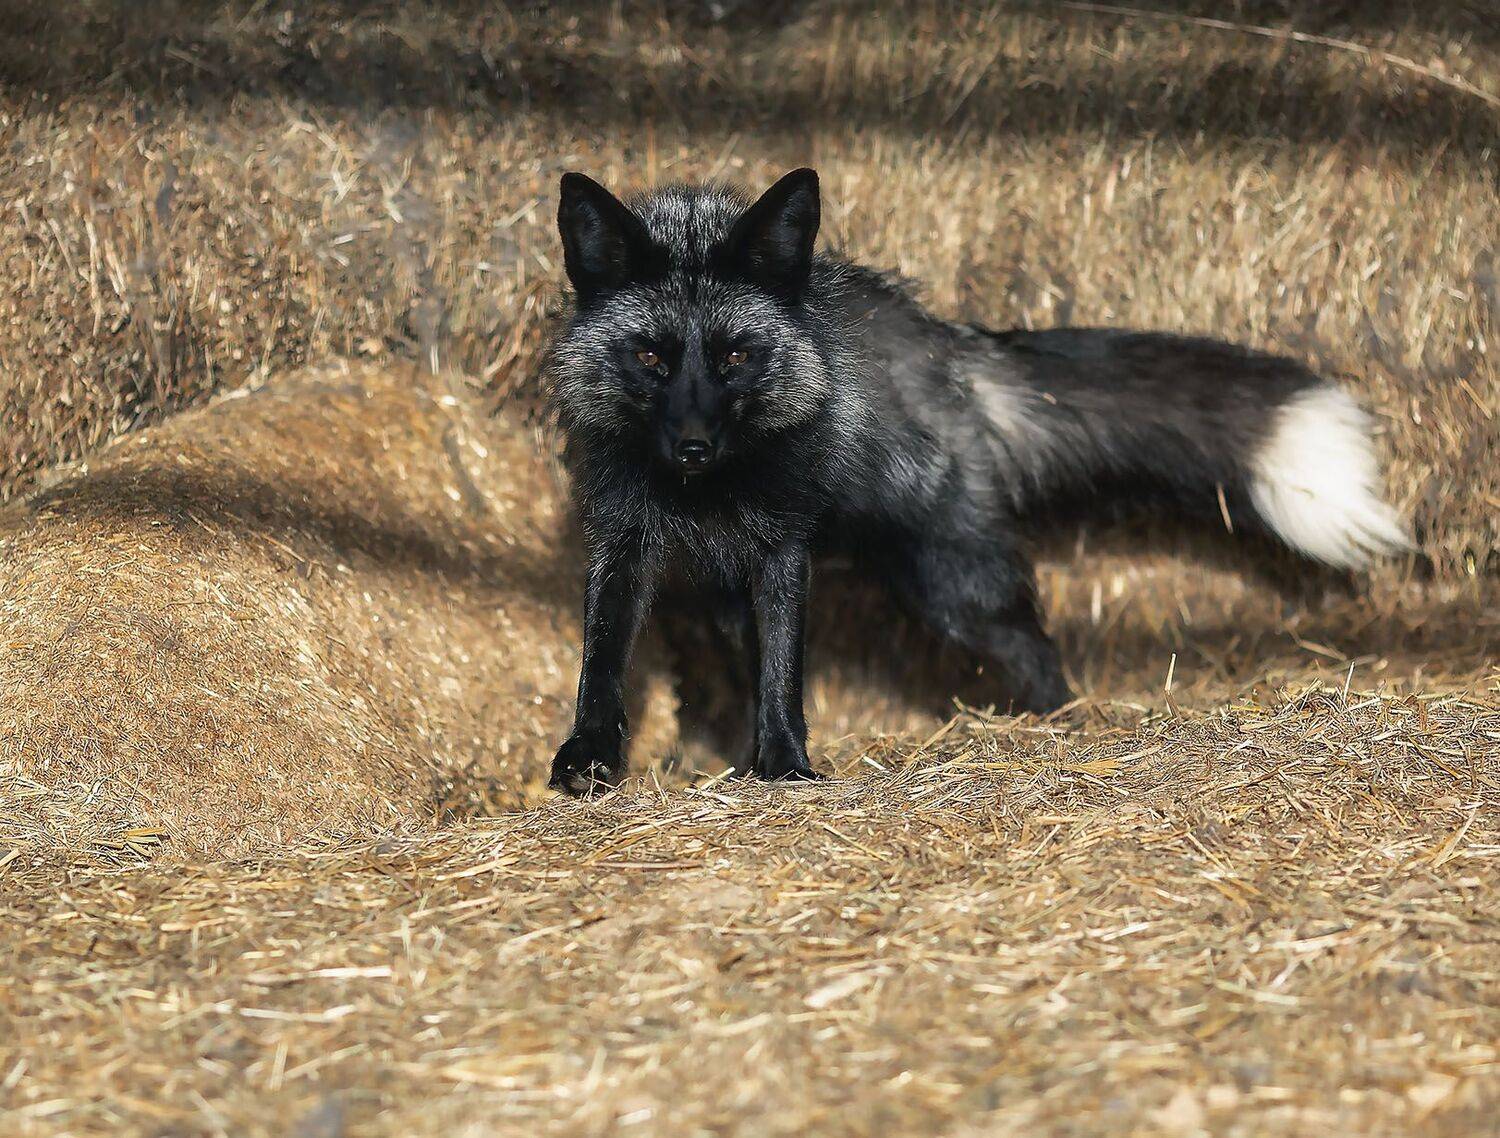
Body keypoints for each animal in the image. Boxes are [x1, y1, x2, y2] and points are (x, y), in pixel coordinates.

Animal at [545, 167, 1411, 795]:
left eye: (734, 357)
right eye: (650, 358)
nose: (691, 447)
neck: (703, 494)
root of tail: (951, 346)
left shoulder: (784, 549)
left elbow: (785, 674)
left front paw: (787, 767)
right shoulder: (623, 540)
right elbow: (604, 661)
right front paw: (590, 760)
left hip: (954, 586)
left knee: (1039, 653)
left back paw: (1067, 732)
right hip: (756, 597)